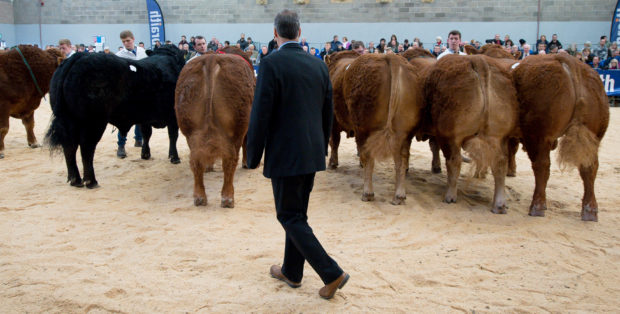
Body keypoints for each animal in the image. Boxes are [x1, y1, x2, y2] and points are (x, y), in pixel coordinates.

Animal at [46, 43, 186, 186]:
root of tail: (78, 56)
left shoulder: (145, 117)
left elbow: (147, 134)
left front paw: (145, 154)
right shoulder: (173, 115)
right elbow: (173, 135)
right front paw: (174, 157)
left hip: (69, 121)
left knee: (69, 146)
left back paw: (74, 179)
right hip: (93, 122)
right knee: (86, 147)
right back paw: (91, 181)